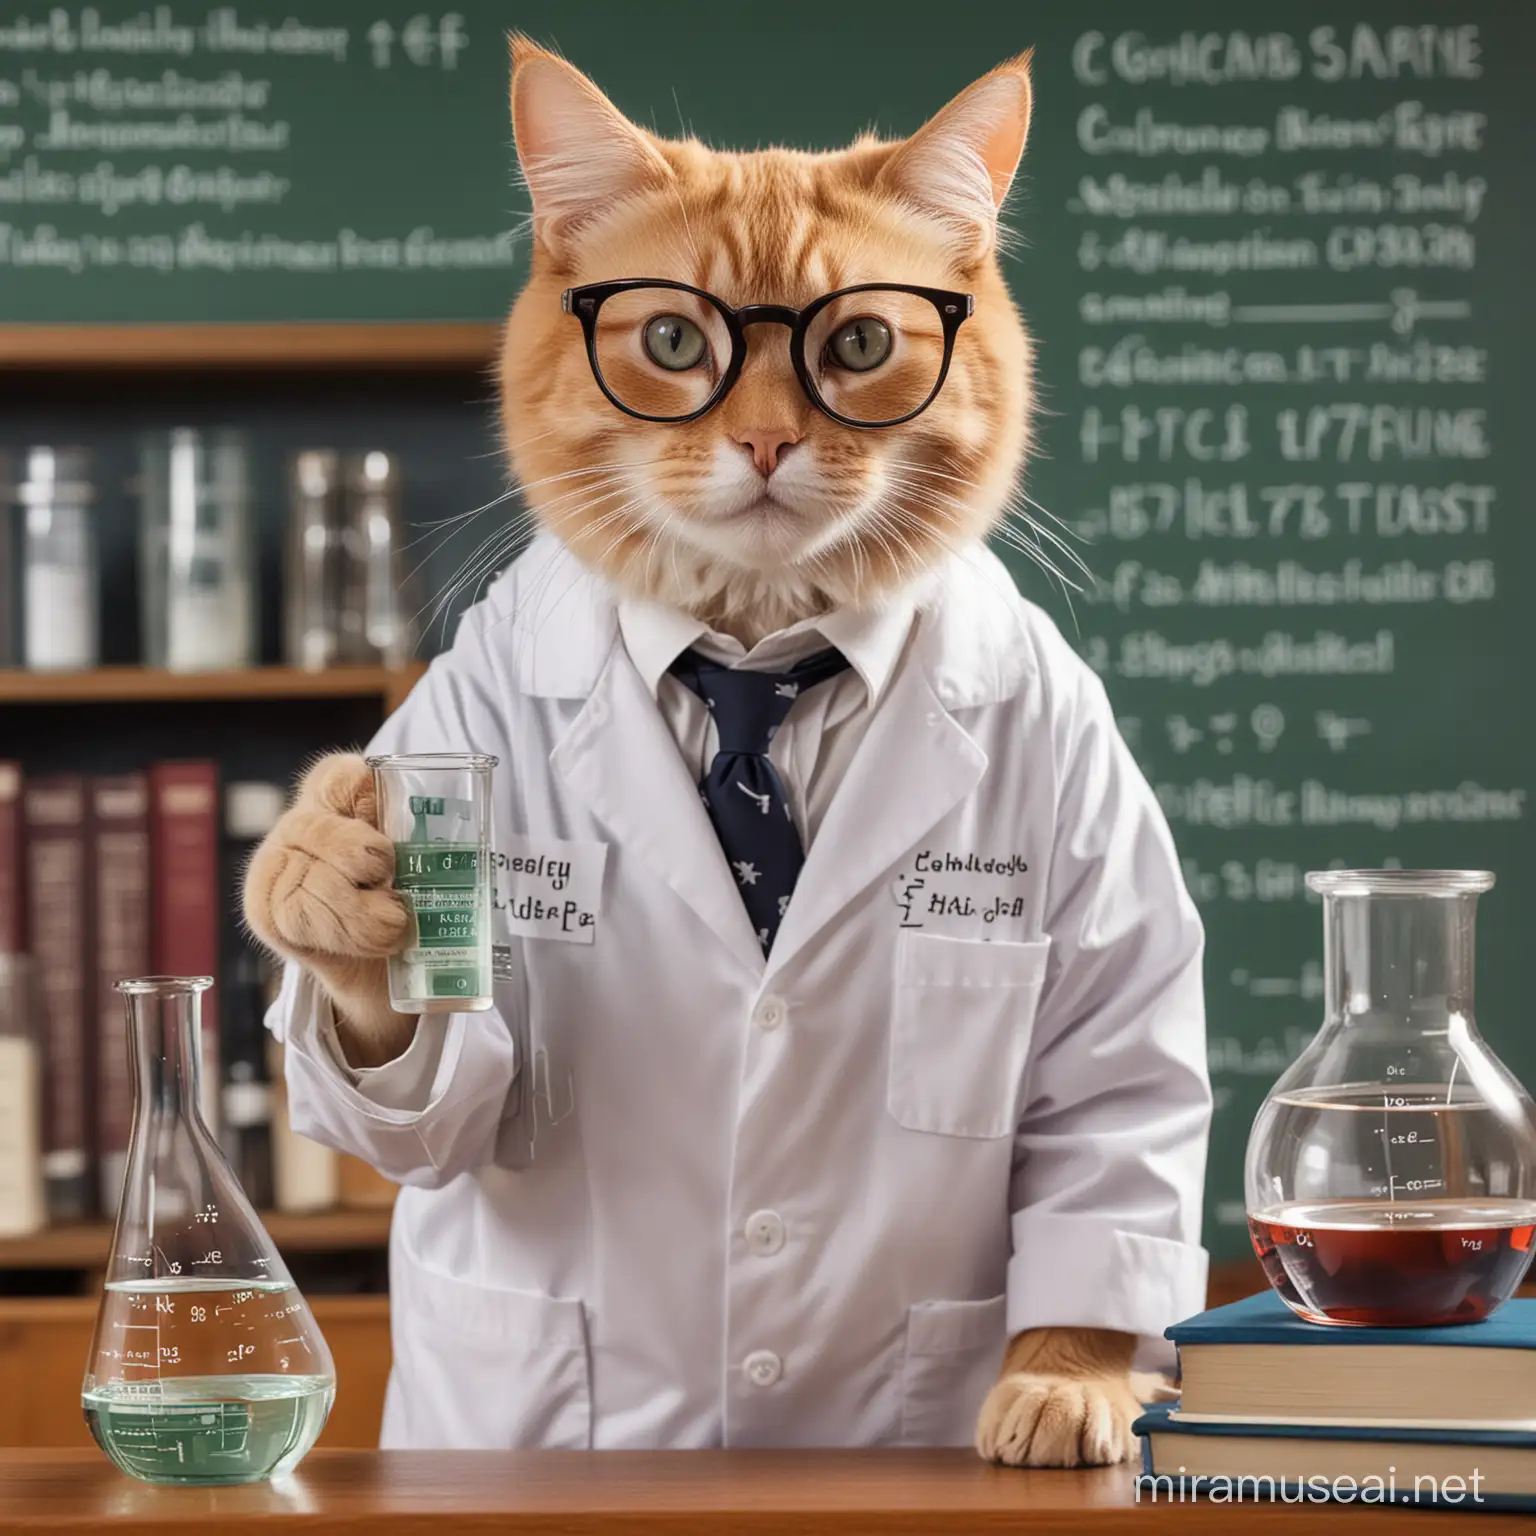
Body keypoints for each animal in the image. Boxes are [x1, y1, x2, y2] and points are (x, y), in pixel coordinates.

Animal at [239, 38, 1173, 1462]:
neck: (756, 655)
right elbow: (435, 1079)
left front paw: (1069, 1377)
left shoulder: (1099, 861)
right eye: (676, 338)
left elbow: (1113, 1138)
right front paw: (327, 881)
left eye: (859, 342)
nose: (770, 441)